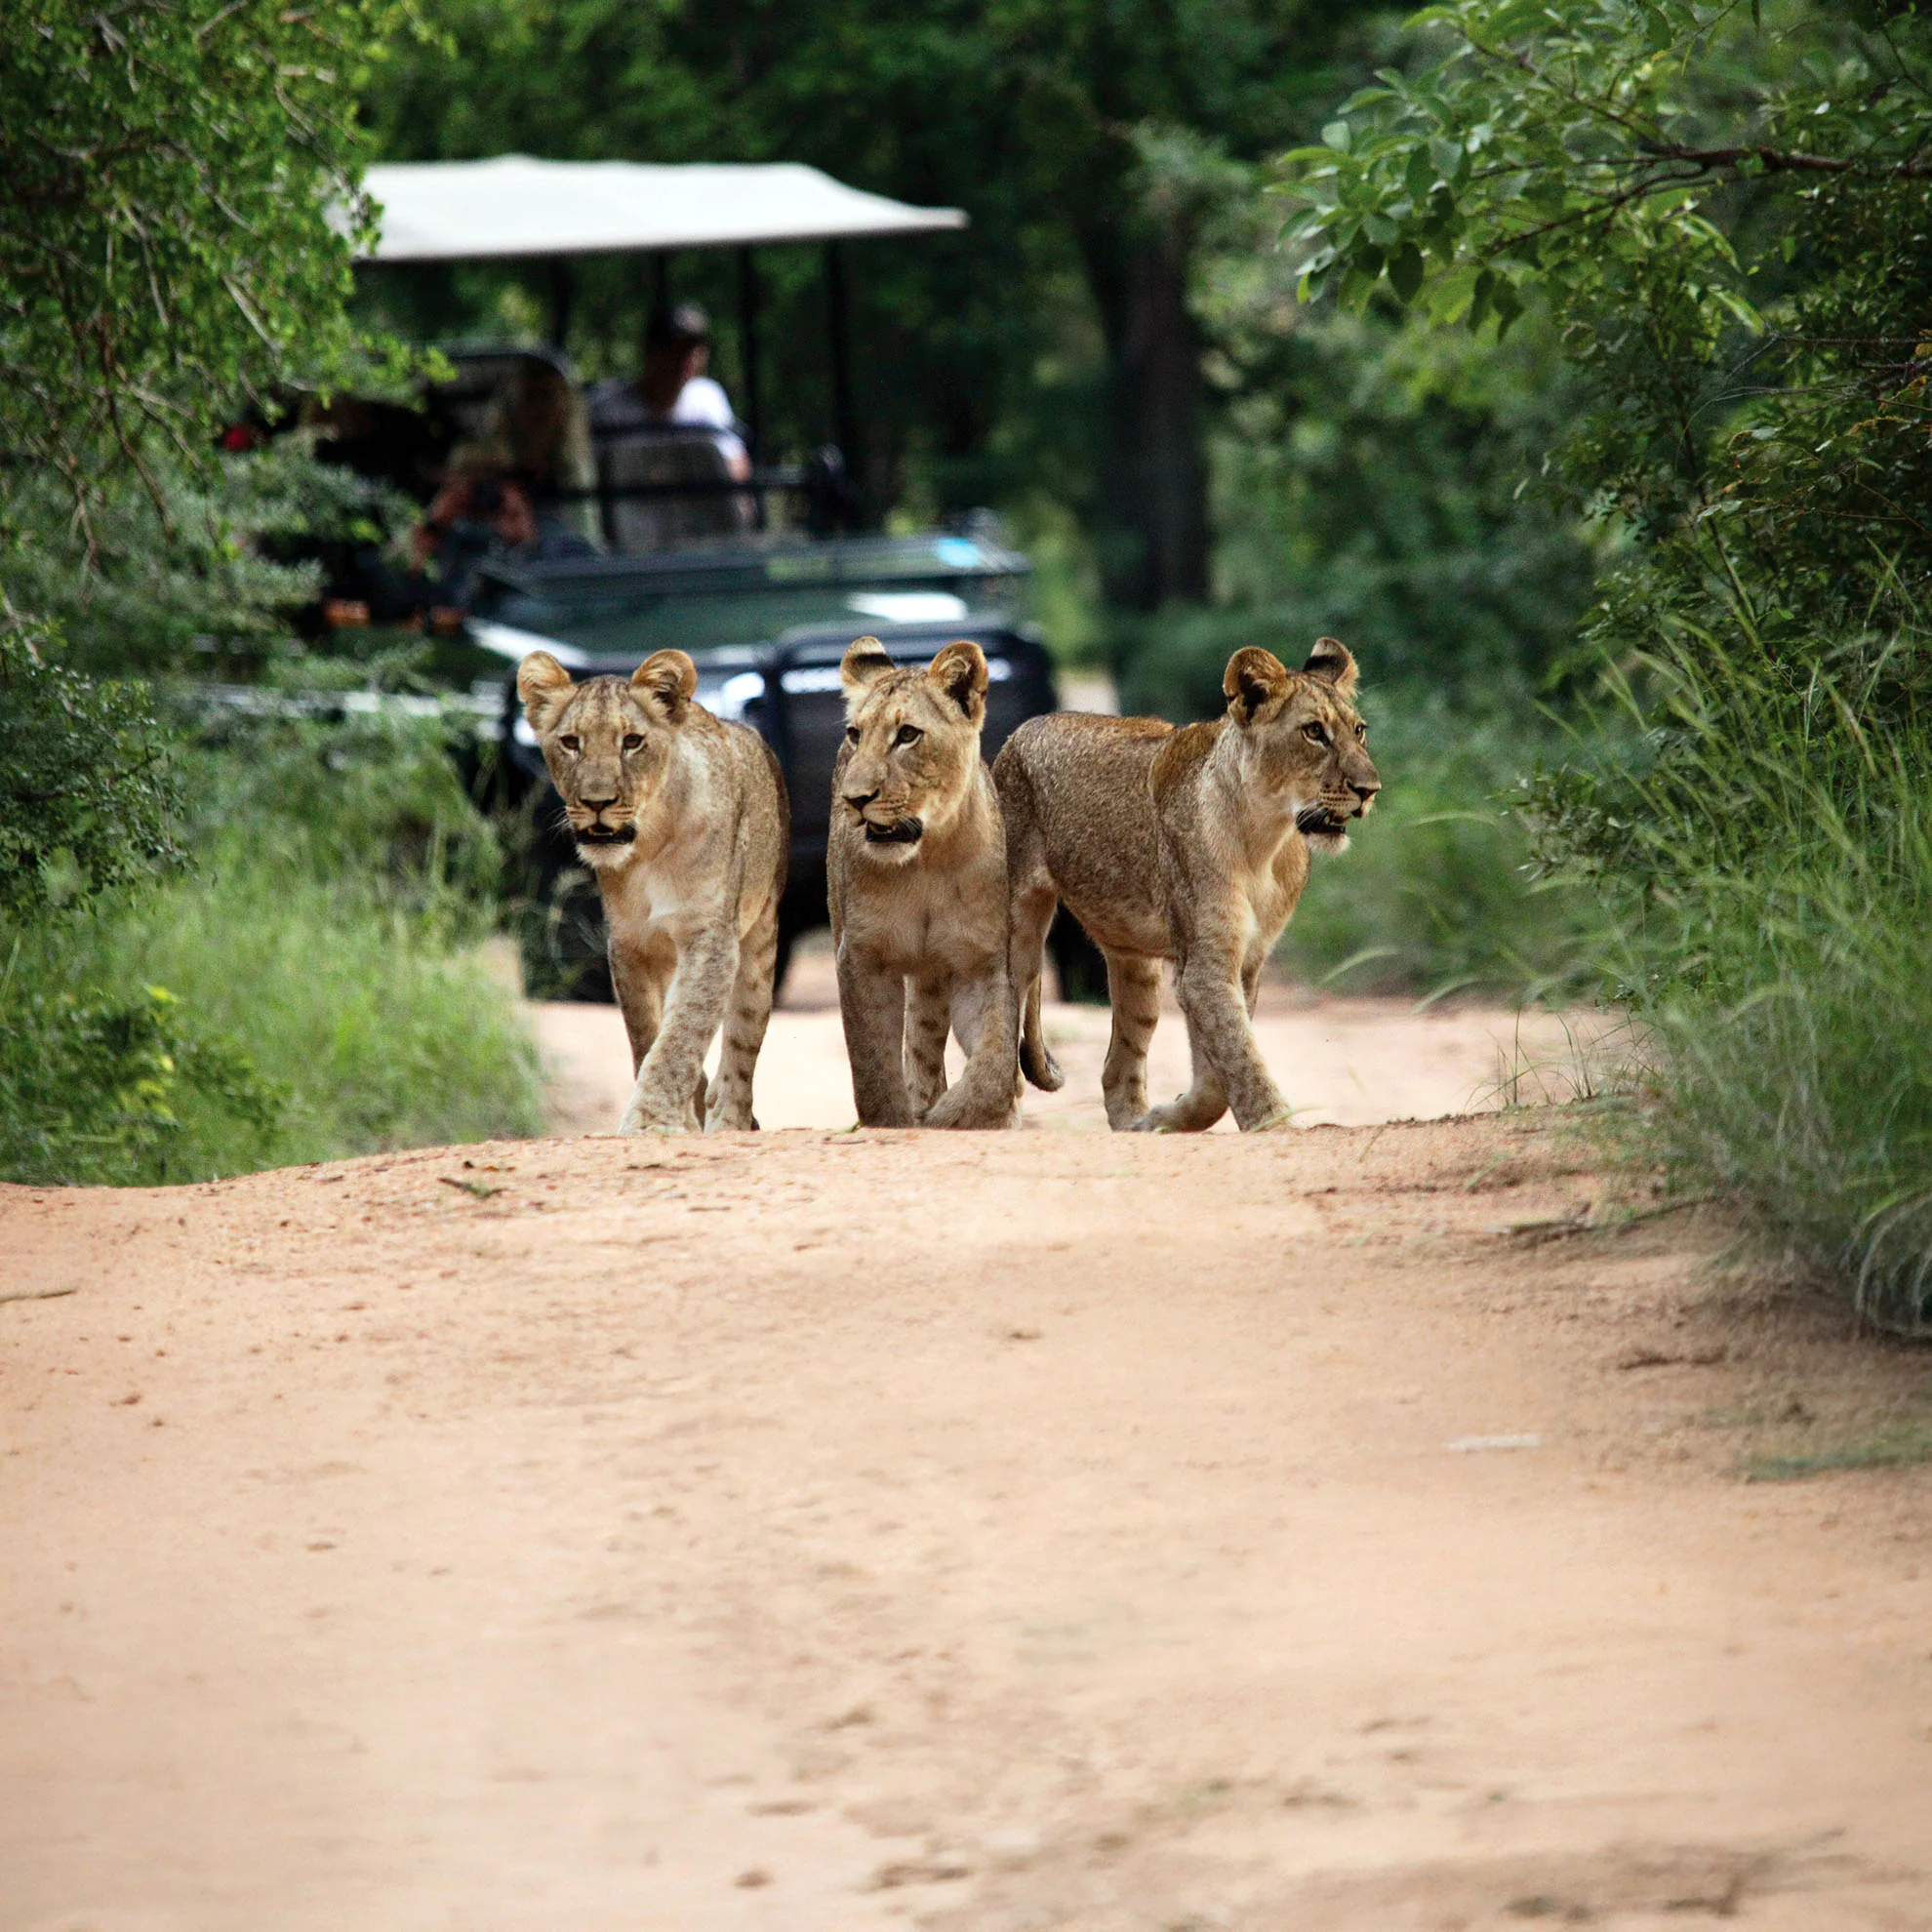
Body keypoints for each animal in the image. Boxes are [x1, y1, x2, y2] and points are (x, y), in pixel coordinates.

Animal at [517, 649, 788, 1132]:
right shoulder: (630, 944)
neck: (649, 847)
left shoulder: (710, 939)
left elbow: (682, 1034)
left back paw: (729, 1120)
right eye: (571, 742)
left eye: (632, 741)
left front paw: (651, 1122)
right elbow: (649, 1035)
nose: (597, 803)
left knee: (742, 1043)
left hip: (760, 940)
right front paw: (673, 1116)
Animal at [828, 636, 1018, 1129]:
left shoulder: (979, 963)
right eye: (855, 734)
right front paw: (898, 1121)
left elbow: (995, 1065)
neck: (927, 862)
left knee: (925, 1044)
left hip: (934, 978)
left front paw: (953, 1117)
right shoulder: (861, 957)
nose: (854, 799)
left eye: (908, 735)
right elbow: (874, 1067)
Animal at [994, 638, 1381, 1133]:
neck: (1266, 840)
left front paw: (1166, 1116)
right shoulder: (1205, 966)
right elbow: (1240, 1060)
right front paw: (1276, 1126)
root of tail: (1021, 730)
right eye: (1314, 732)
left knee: (1116, 1068)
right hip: (1016, 931)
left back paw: (1135, 1125)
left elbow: (1217, 1075)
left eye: (1359, 731)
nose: (1370, 789)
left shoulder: (1244, 960)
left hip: (1136, 967)